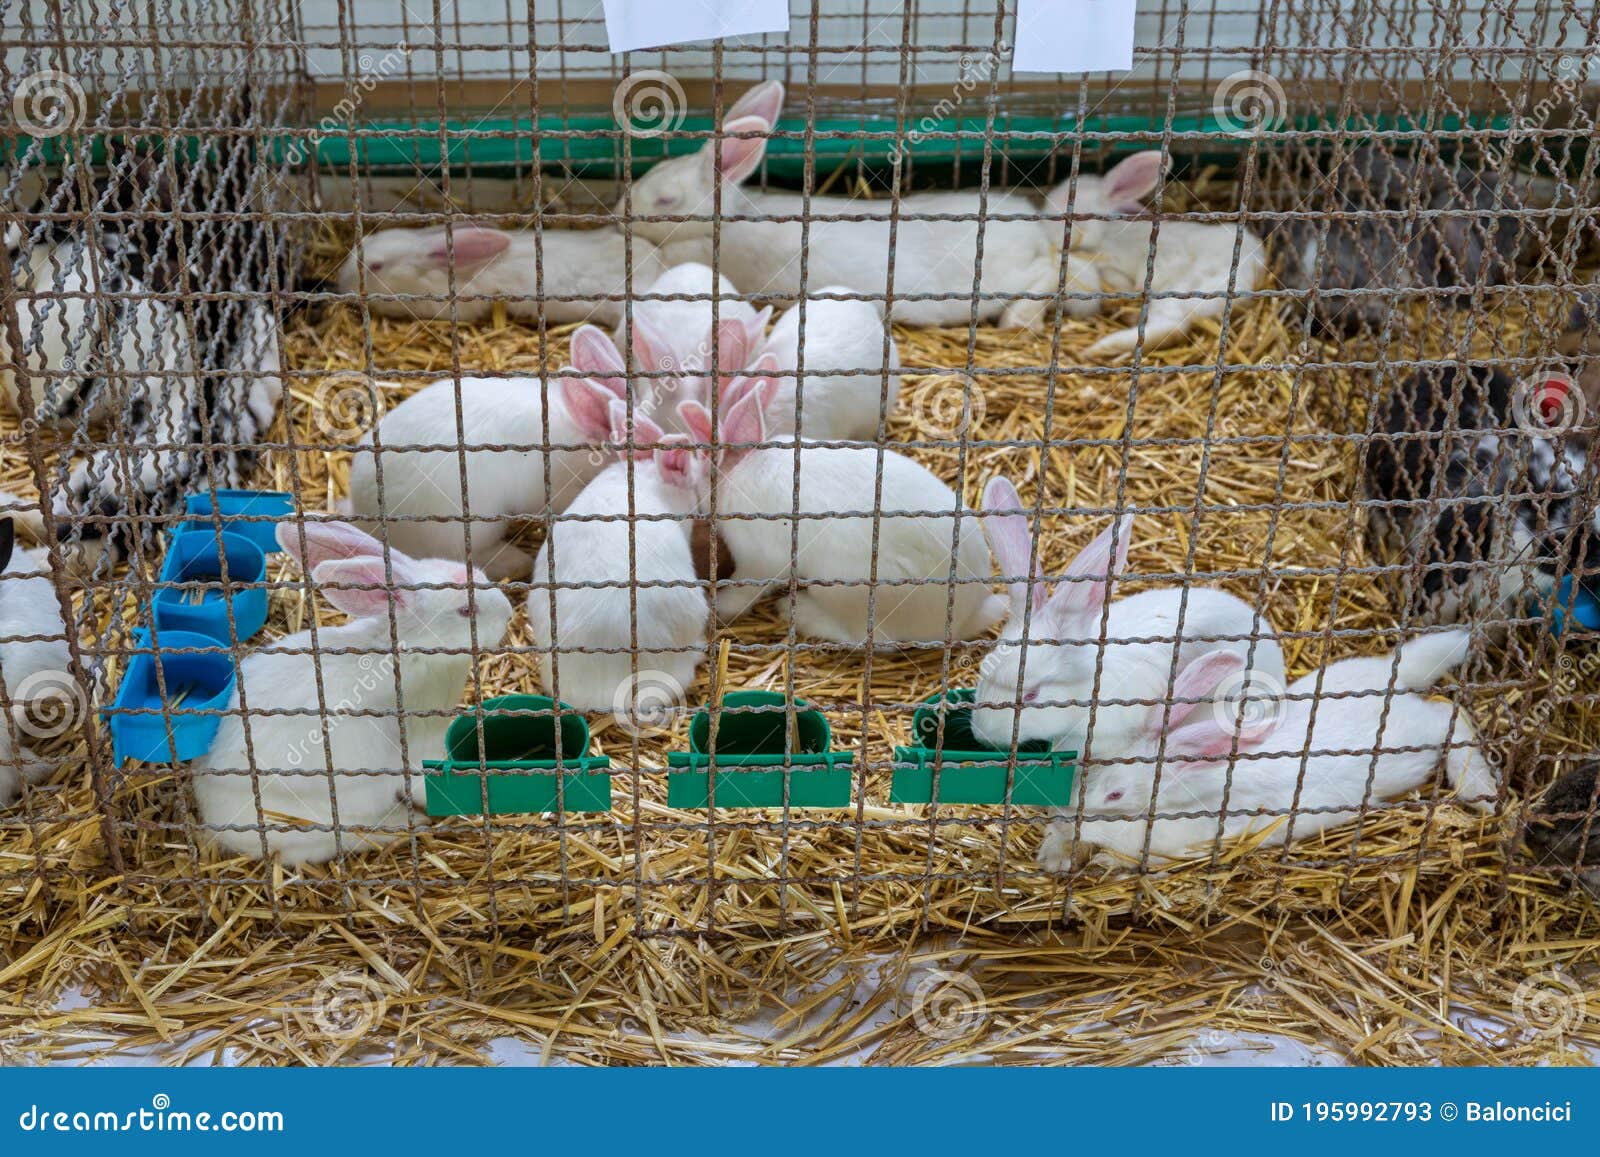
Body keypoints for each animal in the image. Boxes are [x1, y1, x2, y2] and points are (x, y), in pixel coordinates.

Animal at [675, 388, 1007, 645]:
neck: (739, 469)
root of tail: (969, 613)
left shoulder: (758, 560)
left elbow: (745, 589)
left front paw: (721, 606)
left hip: (845, 592)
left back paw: (799, 612)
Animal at [1055, 630, 1496, 870]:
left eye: (1115, 795)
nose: (1066, 821)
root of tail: (1397, 681)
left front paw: (1104, 861)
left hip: (1414, 747)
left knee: (1448, 714)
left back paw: (1481, 790)